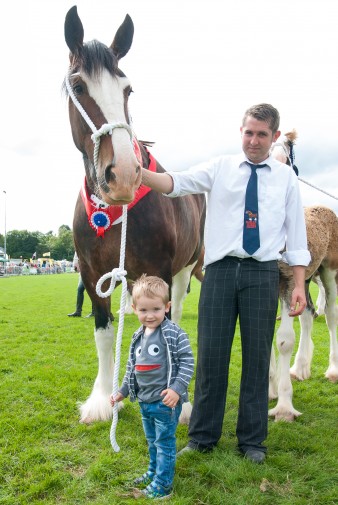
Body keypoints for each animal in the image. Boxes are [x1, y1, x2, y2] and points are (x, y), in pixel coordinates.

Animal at [63, 5, 206, 424]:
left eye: (127, 90)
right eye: (79, 87)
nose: (124, 173)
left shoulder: (159, 269)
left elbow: (166, 329)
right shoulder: (92, 272)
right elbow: (104, 332)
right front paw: (102, 399)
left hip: (184, 268)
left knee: (177, 312)